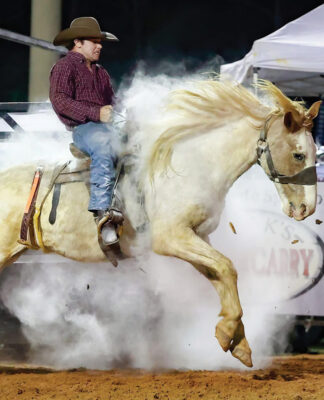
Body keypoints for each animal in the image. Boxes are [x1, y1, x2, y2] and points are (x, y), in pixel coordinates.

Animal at [0, 79, 320, 368]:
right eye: (298, 154)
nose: (308, 207)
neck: (192, 164)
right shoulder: (170, 238)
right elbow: (227, 267)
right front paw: (228, 332)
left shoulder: (197, 237)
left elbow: (220, 273)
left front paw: (238, 342)